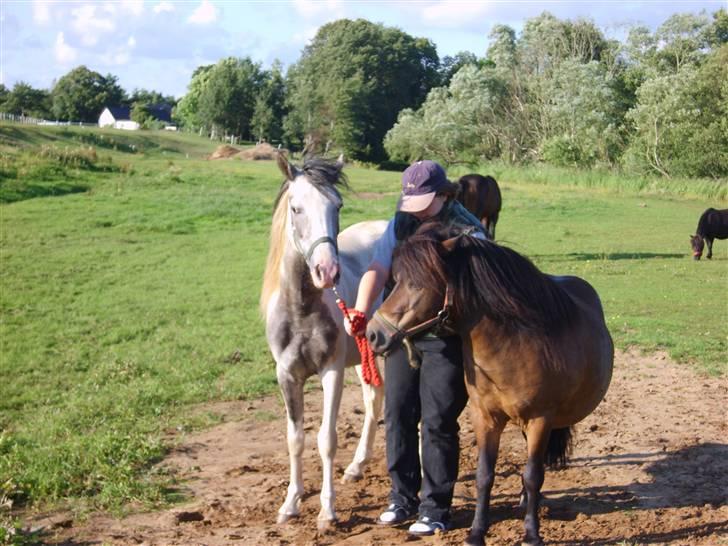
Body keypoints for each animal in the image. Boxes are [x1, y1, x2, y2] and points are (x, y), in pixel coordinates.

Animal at [260, 154, 387, 530]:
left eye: (337, 205)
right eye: (296, 207)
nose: (327, 271)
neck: (301, 310)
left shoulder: (332, 372)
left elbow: (326, 440)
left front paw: (327, 511)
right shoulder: (287, 376)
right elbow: (296, 438)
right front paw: (290, 503)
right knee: (375, 399)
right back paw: (358, 466)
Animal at [365, 226, 613, 546]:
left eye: (417, 285)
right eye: (395, 280)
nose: (373, 333)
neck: (515, 345)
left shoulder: (540, 419)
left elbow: (533, 475)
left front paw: (531, 534)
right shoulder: (485, 418)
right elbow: (484, 475)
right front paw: (476, 532)